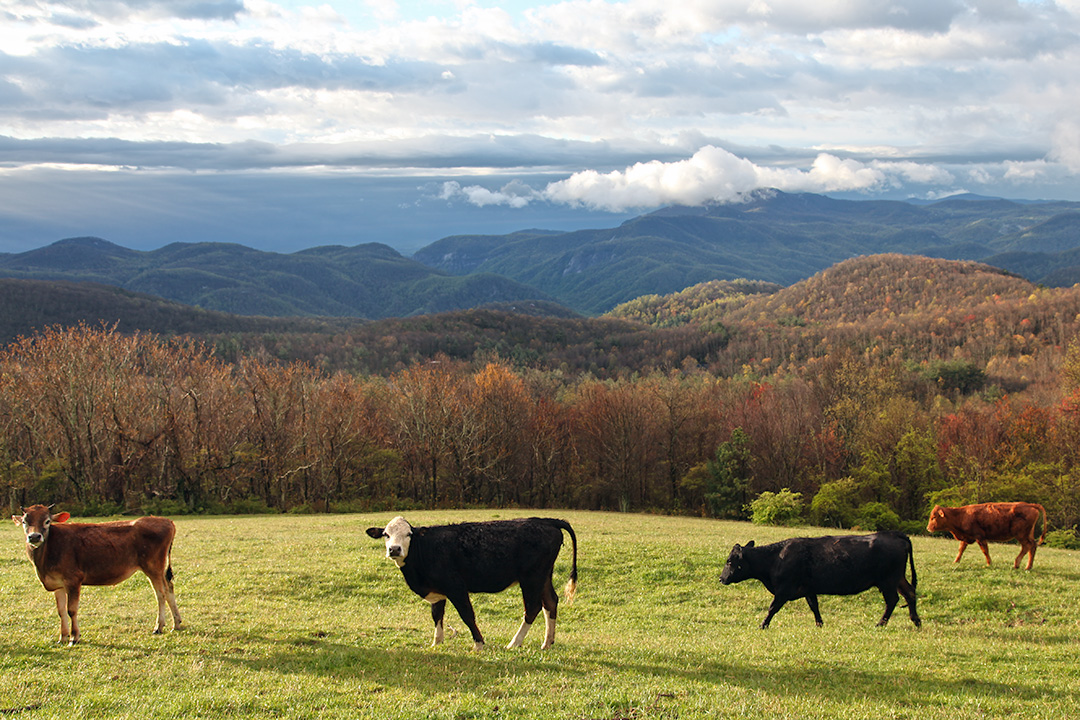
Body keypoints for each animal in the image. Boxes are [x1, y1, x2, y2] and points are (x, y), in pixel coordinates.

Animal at [12, 505, 183, 643]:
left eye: (47, 521)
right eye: (24, 522)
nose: (34, 536)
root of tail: (167, 521)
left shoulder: (73, 580)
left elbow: (71, 610)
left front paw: (74, 637)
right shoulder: (57, 584)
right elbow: (61, 611)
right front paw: (63, 637)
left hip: (153, 567)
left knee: (160, 593)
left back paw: (159, 626)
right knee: (169, 588)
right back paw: (176, 623)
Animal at [365, 515, 583, 651]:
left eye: (409, 534)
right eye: (386, 534)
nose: (394, 549)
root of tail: (547, 521)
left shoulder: (456, 587)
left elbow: (467, 615)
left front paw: (479, 644)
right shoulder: (438, 591)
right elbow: (437, 615)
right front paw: (437, 642)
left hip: (531, 578)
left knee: (533, 607)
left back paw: (514, 643)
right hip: (543, 576)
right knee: (550, 603)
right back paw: (547, 642)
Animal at [725, 528, 920, 630]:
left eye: (729, 562)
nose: (721, 578)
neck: (776, 557)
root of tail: (896, 535)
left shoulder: (784, 590)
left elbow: (772, 608)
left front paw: (763, 624)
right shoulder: (808, 589)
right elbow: (814, 606)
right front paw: (820, 624)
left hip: (888, 581)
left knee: (893, 600)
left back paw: (881, 623)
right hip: (898, 579)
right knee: (910, 594)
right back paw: (916, 621)